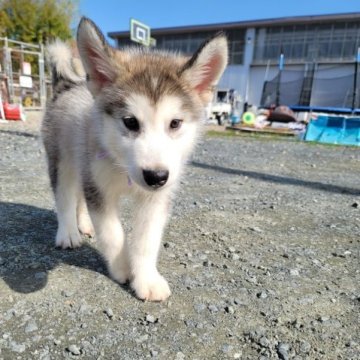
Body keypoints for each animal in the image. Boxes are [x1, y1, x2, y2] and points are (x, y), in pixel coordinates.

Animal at [41, 17, 228, 300]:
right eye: (130, 122)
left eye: (175, 123)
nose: (156, 177)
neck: (123, 169)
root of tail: (67, 85)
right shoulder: (100, 188)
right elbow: (112, 234)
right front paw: (122, 270)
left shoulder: (156, 198)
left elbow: (146, 240)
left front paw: (147, 279)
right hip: (62, 160)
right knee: (64, 196)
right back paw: (69, 233)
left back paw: (84, 224)